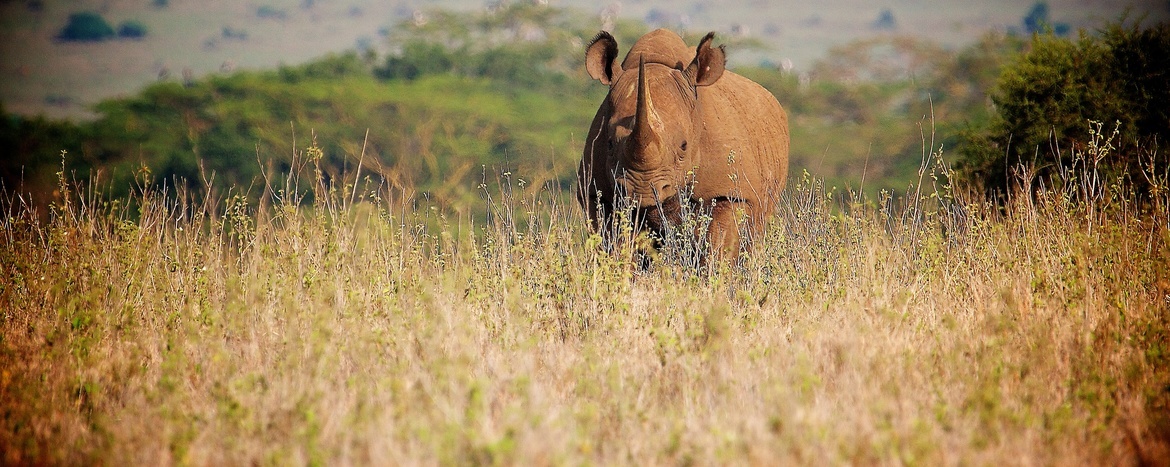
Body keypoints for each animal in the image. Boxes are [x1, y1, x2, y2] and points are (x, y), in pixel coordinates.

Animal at [577, 29, 790, 259]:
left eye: (684, 146)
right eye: (609, 144)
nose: (642, 191)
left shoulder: (730, 191)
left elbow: (719, 246)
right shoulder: (597, 193)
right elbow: (616, 245)